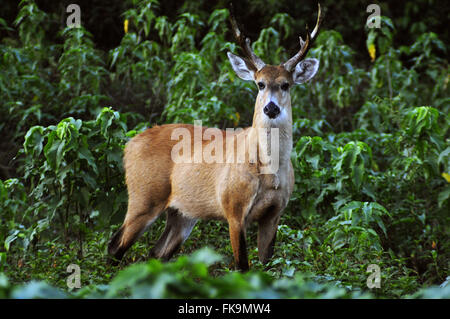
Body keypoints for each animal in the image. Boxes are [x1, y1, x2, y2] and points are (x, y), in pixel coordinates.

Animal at [107, 3, 322, 272]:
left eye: (286, 85)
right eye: (260, 84)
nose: (270, 108)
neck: (268, 170)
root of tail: (129, 145)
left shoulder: (275, 213)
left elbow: (267, 266)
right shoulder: (234, 207)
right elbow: (243, 267)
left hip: (182, 213)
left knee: (156, 252)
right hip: (143, 195)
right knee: (115, 245)